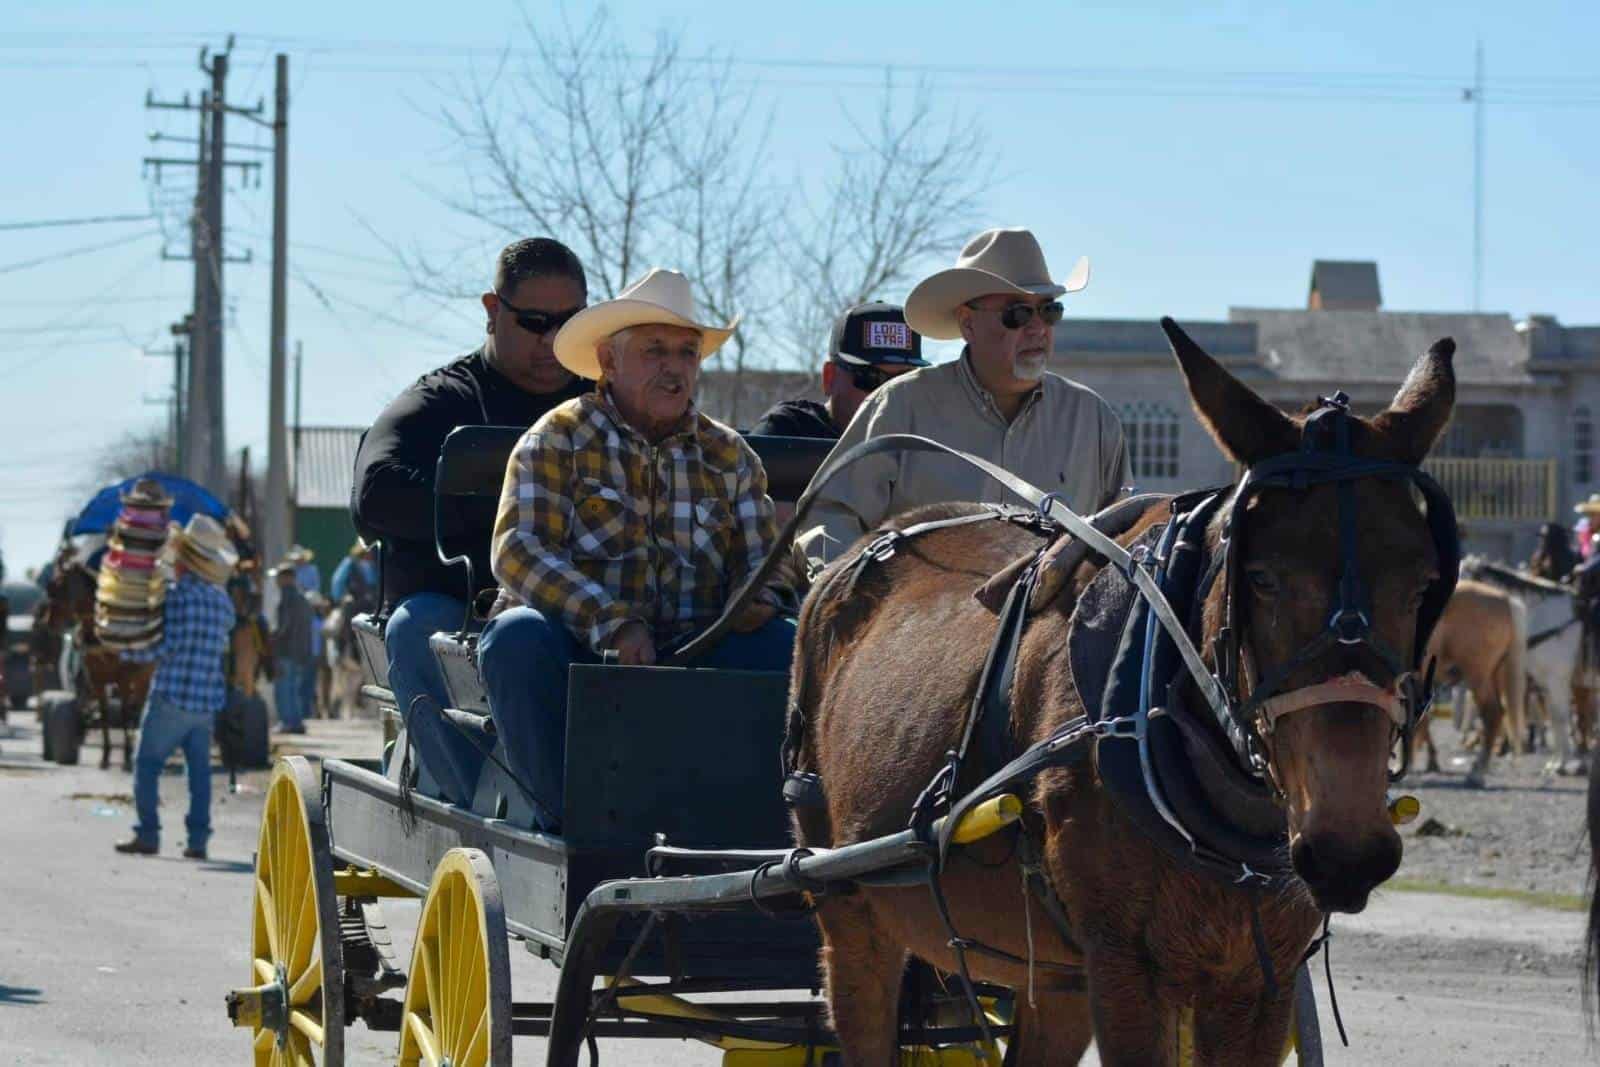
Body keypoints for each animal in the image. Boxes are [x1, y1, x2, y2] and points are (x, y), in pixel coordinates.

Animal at [780, 327, 1459, 1067]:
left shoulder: (1259, 978)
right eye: (1262, 577)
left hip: (1053, 974)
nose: (1347, 851)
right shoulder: (1125, 969)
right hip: (851, 913)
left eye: (1424, 584)